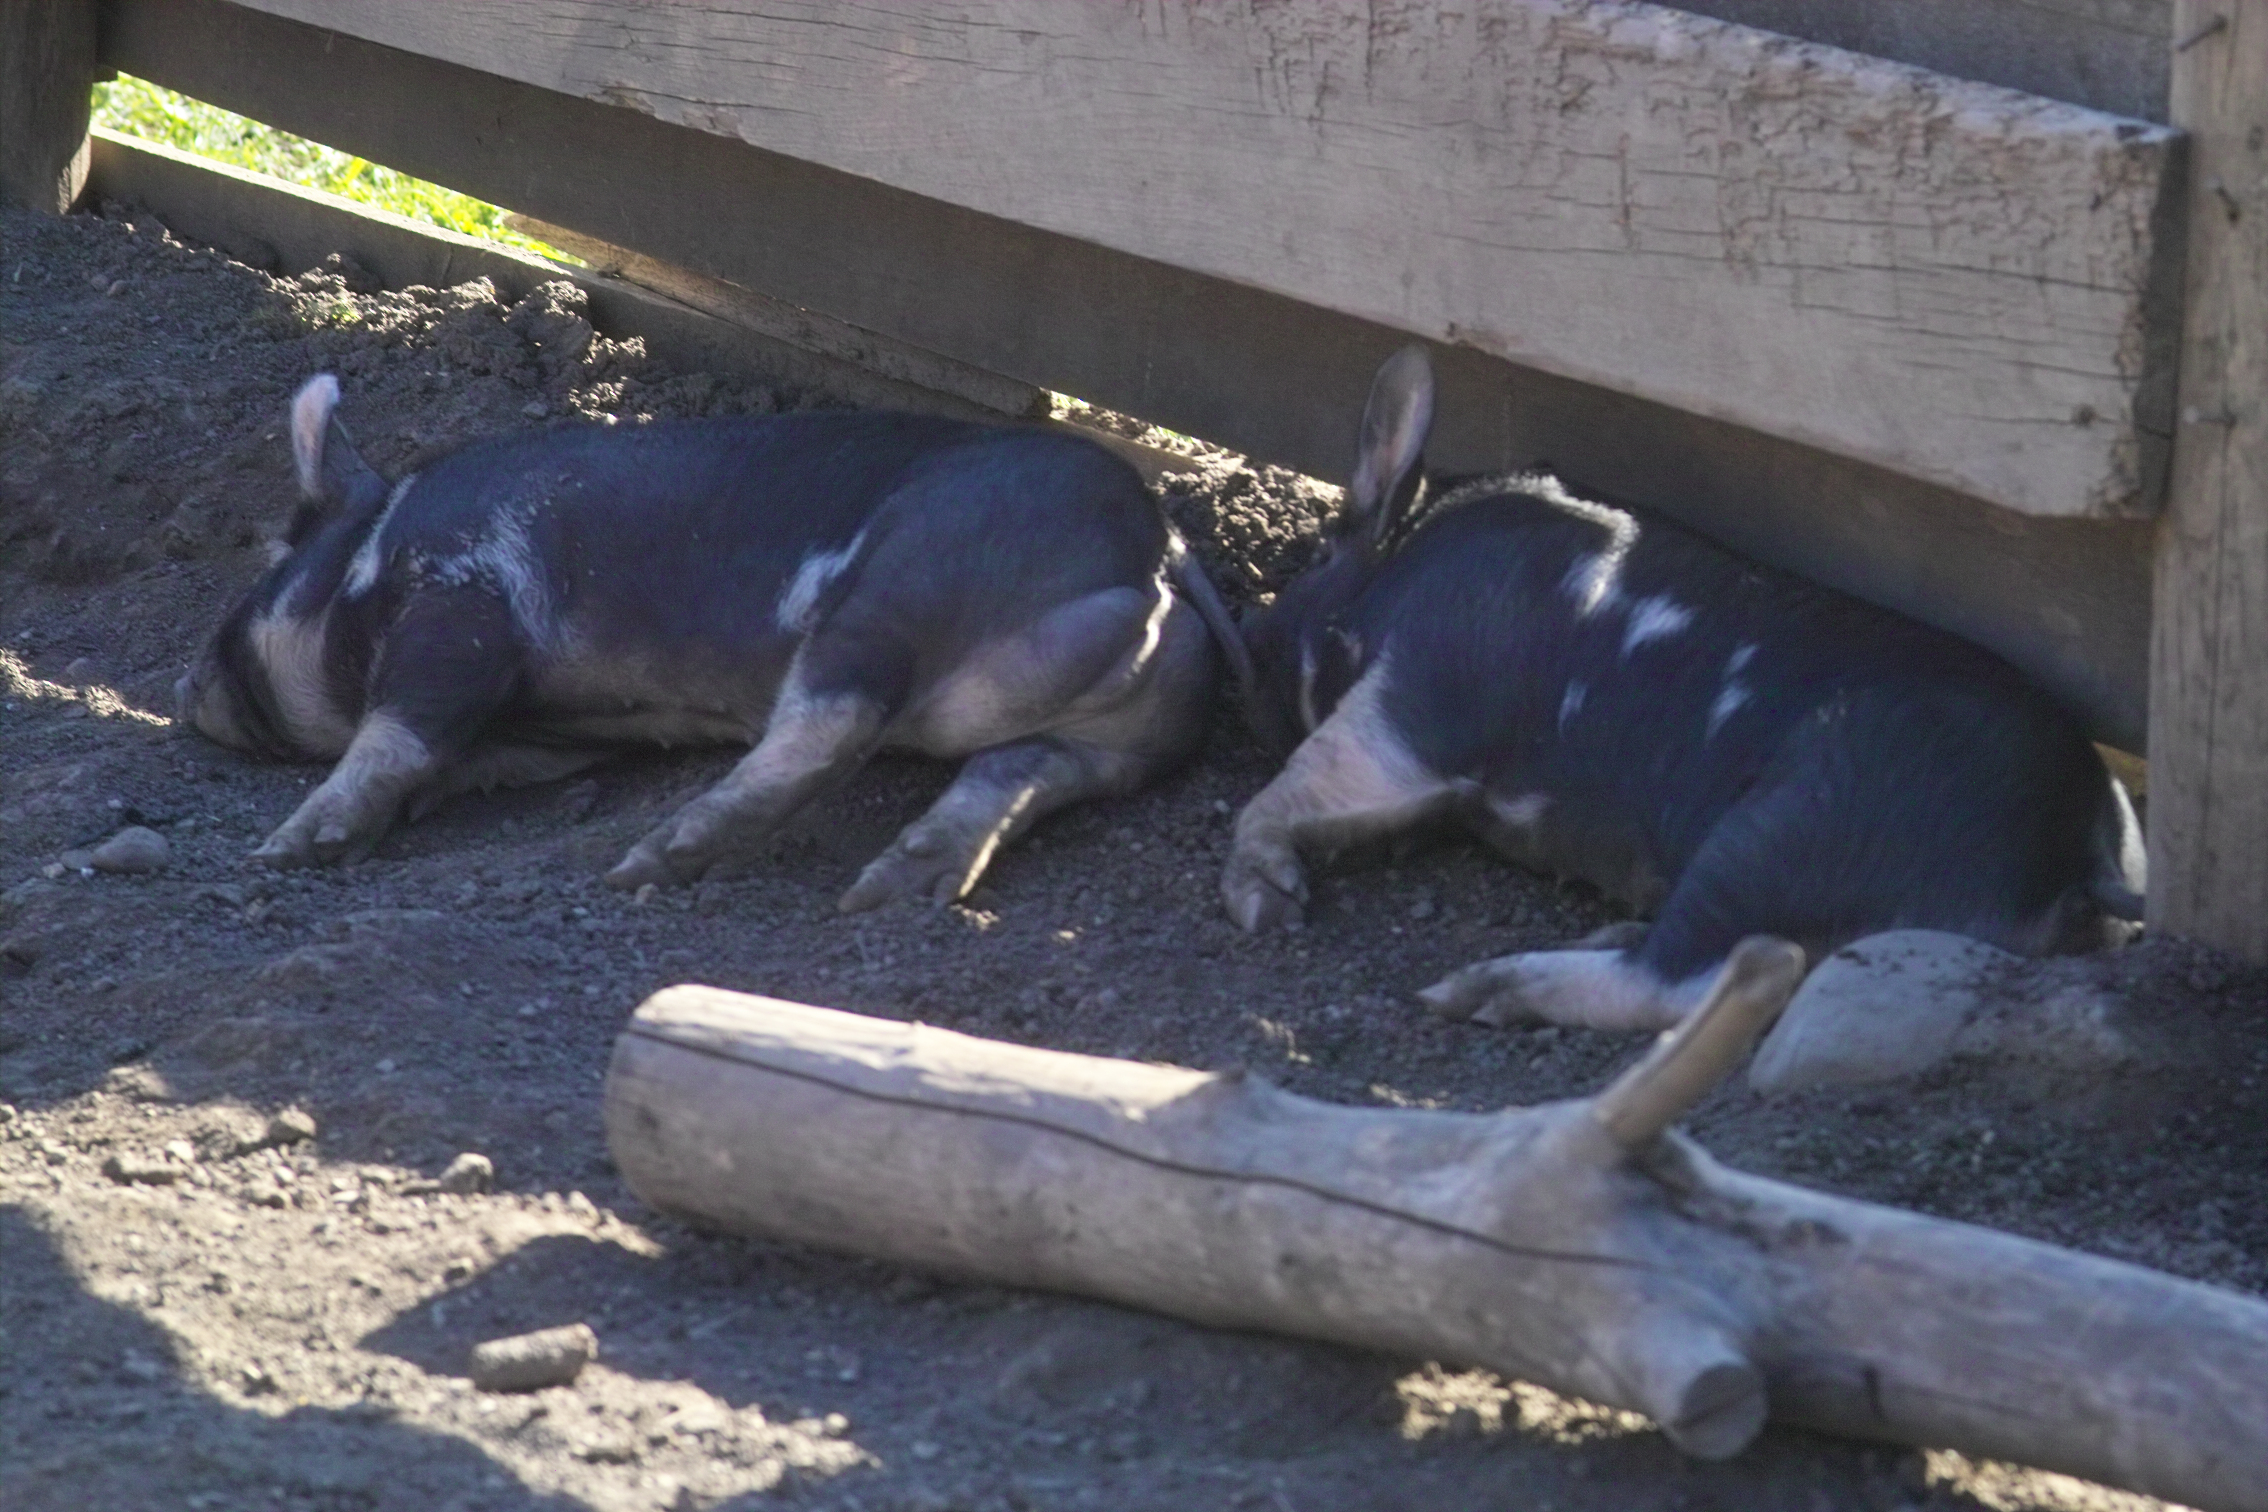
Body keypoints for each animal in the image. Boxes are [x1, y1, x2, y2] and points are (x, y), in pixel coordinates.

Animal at [178, 375, 1243, 909]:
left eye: (264, 575)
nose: (187, 692)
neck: (378, 550)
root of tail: (1159, 551)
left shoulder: (465, 596)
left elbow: (401, 730)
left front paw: (283, 852)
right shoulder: (553, 734)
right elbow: (463, 763)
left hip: (900, 583)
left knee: (834, 720)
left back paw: (648, 866)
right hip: (1130, 728)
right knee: (1021, 771)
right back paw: (891, 889)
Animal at [1223, 348, 2146, 1032]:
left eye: (1313, 556)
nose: (1243, 640)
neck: (1398, 572)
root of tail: (2079, 841)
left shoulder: (1416, 704)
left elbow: (1290, 788)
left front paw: (1268, 908)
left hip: (1799, 830)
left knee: (1692, 979)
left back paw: (1469, 990)